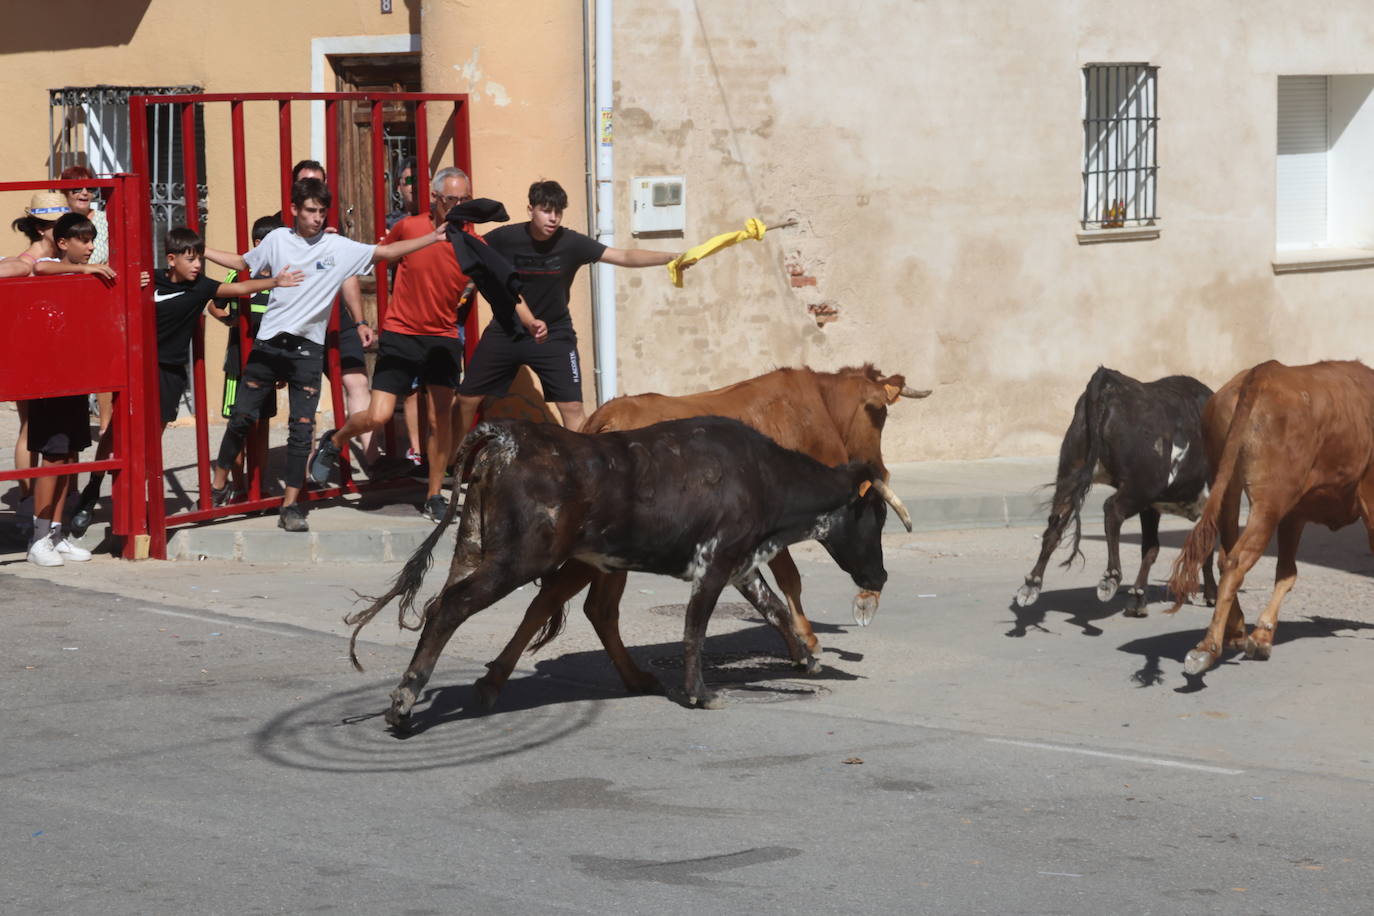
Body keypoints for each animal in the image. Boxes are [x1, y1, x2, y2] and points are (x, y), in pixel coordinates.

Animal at [346, 417, 912, 730]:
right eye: (876, 518)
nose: (882, 578)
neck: (763, 474)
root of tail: (505, 433)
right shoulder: (714, 564)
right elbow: (694, 629)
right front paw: (701, 693)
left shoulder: (740, 564)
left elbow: (773, 608)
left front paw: (808, 658)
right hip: (515, 561)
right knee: (450, 609)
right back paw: (403, 705)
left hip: (473, 547)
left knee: (462, 604)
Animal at [467, 362, 928, 708]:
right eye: (878, 413)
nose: (881, 470)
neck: (817, 408)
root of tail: (603, 420)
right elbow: (789, 581)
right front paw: (808, 642)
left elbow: (774, 593)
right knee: (573, 602)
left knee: (579, 604)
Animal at [1011, 365, 1214, 615]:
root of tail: (1108, 380)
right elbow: (1208, 548)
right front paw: (1212, 594)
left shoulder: (1151, 507)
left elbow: (1151, 548)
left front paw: (1138, 598)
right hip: (1141, 486)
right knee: (1112, 509)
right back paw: (1110, 577)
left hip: (1071, 474)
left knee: (1056, 522)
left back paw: (1032, 584)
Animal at [1165, 362, 1374, 678]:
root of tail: (1263, 372)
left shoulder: (1295, 514)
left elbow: (1287, 572)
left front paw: (1262, 636)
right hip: (1268, 501)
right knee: (1236, 561)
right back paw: (1208, 648)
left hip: (1231, 488)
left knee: (1226, 556)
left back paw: (1236, 631)